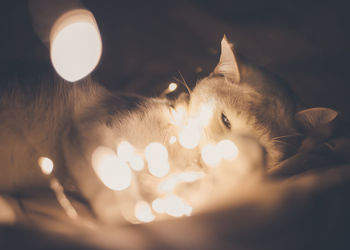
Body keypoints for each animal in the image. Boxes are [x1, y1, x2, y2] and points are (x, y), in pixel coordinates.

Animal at [0, 35, 340, 223]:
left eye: (268, 151)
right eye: (226, 120)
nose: (219, 155)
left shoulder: (182, 192)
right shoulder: (90, 128)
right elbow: (113, 185)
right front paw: (125, 215)